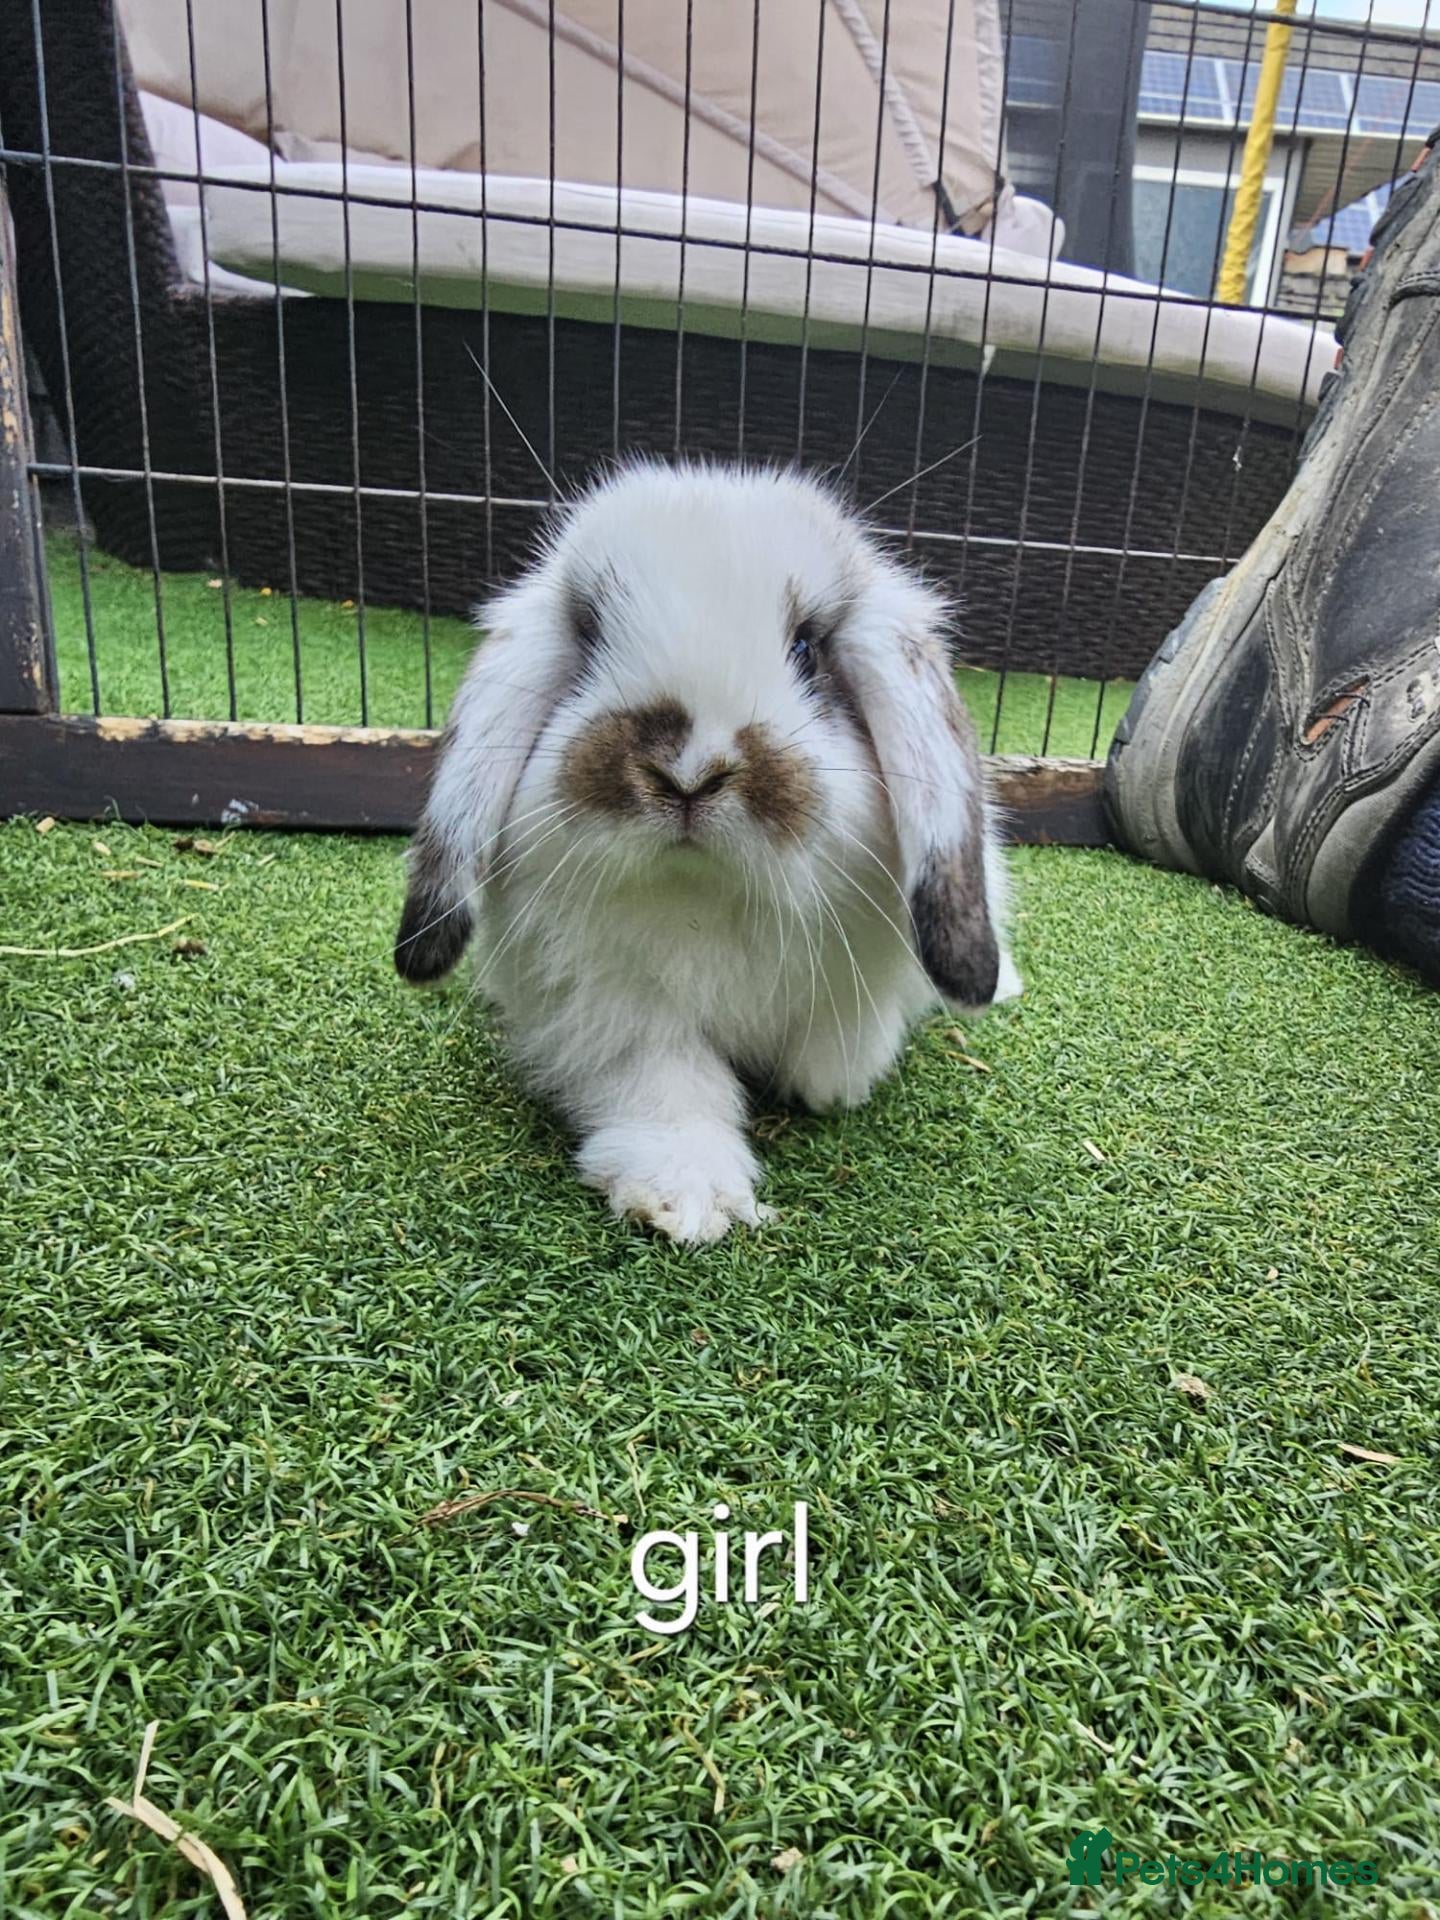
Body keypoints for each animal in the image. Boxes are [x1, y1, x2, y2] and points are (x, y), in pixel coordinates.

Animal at [395, 461, 1020, 1244]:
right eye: (591, 634)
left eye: (806, 648)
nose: (688, 773)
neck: (706, 895)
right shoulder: (617, 1008)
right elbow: (666, 1081)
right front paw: (687, 1198)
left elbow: (842, 1045)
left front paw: (826, 1083)